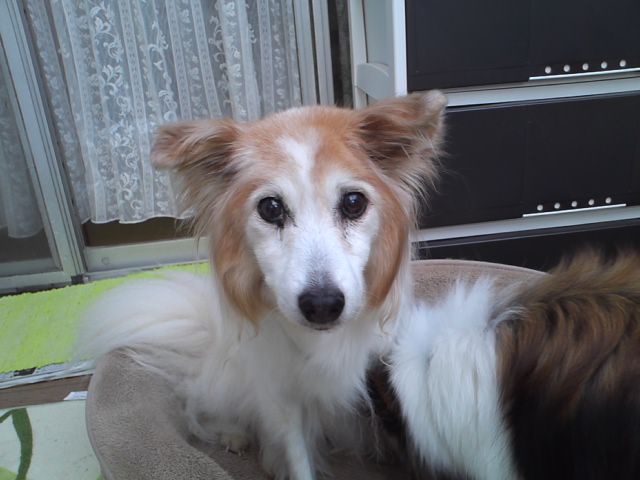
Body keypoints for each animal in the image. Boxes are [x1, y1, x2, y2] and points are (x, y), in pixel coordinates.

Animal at [80, 91, 447, 480]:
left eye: (353, 202)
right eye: (271, 208)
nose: (322, 305)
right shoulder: (282, 396)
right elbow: (299, 459)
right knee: (203, 407)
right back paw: (234, 435)